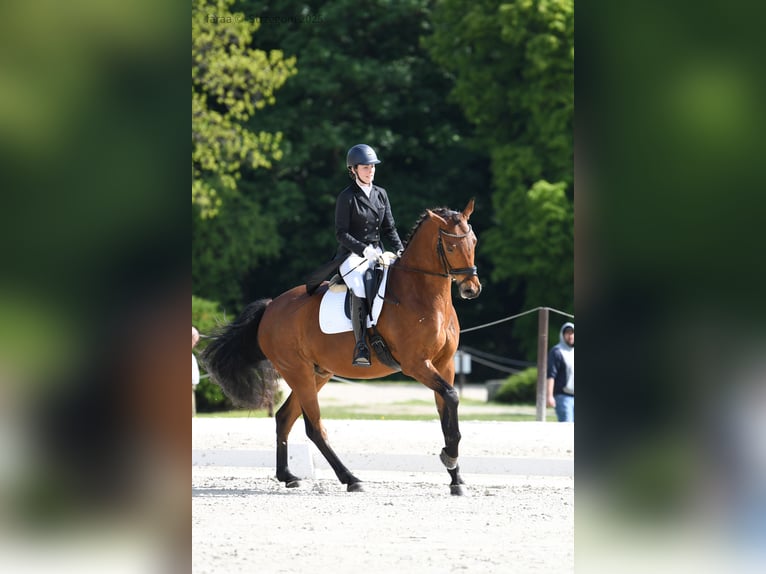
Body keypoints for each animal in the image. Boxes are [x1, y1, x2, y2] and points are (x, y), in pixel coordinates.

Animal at [201, 199, 482, 495]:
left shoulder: (444, 364)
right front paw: (449, 458)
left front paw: (455, 477)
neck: (423, 295)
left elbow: (446, 413)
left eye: (473, 241)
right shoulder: (416, 365)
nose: (471, 289)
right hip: (298, 372)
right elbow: (452, 396)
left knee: (284, 418)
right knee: (314, 427)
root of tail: (271, 307)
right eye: (450, 247)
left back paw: (288, 476)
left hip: (318, 373)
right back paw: (351, 478)